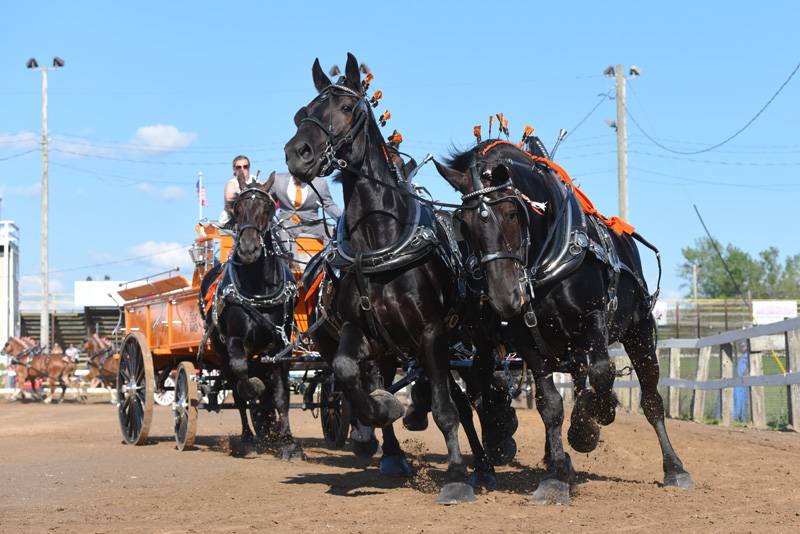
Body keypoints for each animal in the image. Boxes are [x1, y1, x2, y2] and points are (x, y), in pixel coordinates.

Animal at [198, 172, 304, 460]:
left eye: (267, 208)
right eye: (237, 209)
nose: (247, 249)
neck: (259, 289)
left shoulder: (280, 345)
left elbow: (280, 395)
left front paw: (287, 441)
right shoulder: (235, 342)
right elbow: (243, 381)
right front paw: (256, 396)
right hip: (222, 351)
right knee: (238, 389)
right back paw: (247, 437)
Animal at [434, 141, 692, 506]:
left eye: (511, 213)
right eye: (464, 224)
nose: (505, 298)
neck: (544, 254)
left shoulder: (594, 317)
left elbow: (602, 374)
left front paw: (590, 424)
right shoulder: (527, 338)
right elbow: (550, 404)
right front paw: (556, 476)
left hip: (638, 331)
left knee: (650, 398)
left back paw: (674, 467)